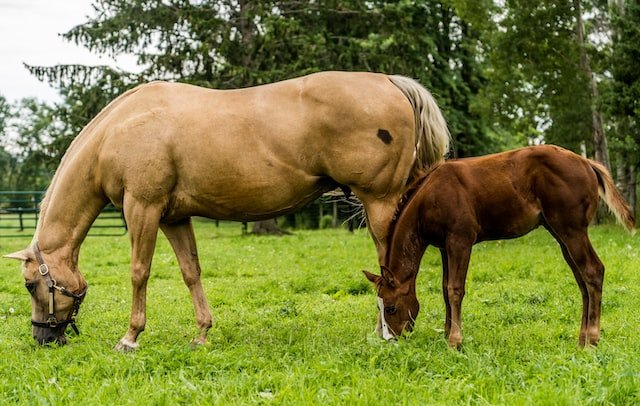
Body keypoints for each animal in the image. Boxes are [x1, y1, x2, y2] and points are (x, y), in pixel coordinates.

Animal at [3, 70, 450, 348]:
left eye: (30, 285)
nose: (43, 339)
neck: (121, 129)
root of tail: (391, 82)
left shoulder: (143, 209)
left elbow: (139, 273)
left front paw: (130, 338)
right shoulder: (174, 217)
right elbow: (191, 272)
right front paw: (201, 333)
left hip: (379, 203)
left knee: (389, 269)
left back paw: (385, 331)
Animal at [364, 144, 636, 348]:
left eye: (390, 308)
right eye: (380, 306)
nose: (389, 339)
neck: (429, 197)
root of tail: (587, 163)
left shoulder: (460, 241)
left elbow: (454, 289)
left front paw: (455, 341)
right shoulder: (444, 247)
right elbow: (444, 289)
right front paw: (446, 333)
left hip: (572, 231)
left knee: (593, 271)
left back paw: (592, 340)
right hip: (561, 235)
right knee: (582, 281)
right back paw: (581, 340)